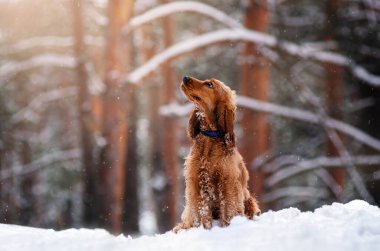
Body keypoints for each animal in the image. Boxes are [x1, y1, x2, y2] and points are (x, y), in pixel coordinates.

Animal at [174, 76, 260, 233]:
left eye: (209, 84)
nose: (185, 77)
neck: (209, 139)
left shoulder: (228, 183)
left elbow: (229, 210)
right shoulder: (197, 184)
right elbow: (201, 213)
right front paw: (204, 228)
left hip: (249, 200)